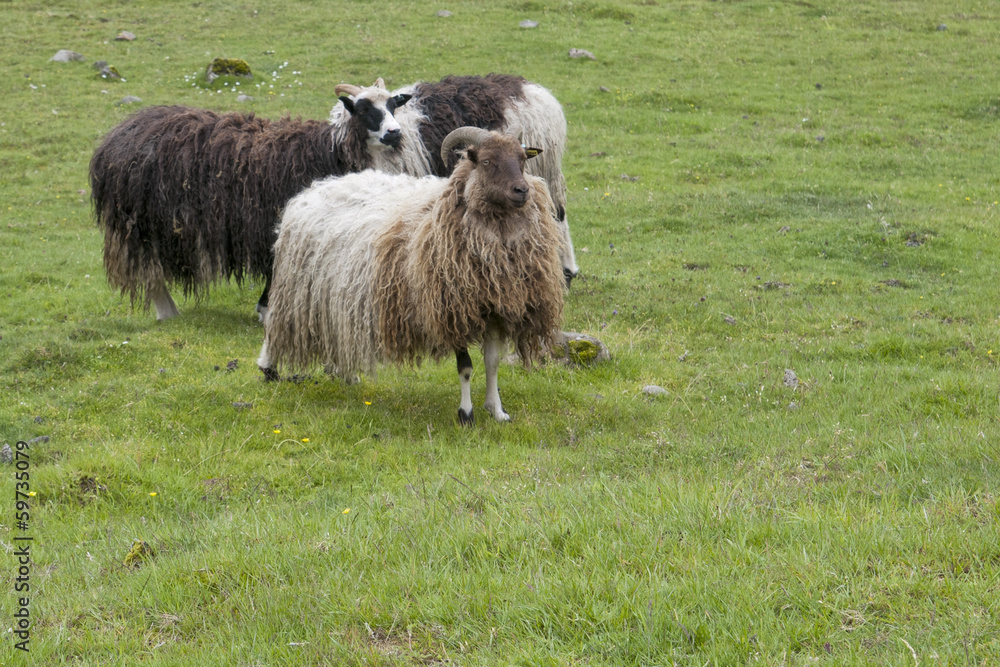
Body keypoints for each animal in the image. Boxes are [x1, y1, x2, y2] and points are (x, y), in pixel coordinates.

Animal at [89, 79, 410, 320]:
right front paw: (266, 310)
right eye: (364, 109)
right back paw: (167, 312)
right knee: (149, 270)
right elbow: (274, 267)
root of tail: (115, 137)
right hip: (139, 223)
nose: (395, 133)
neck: (329, 151)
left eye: (393, 106)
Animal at [258, 128, 568, 426]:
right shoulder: (449, 310)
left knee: (337, 333)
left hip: (334, 296)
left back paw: (346, 375)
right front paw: (466, 414)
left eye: (522, 160)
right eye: (487, 161)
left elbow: (492, 363)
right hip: (296, 291)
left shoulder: (493, 308)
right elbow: (466, 368)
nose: (522, 190)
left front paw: (497, 411)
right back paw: (267, 367)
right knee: (275, 325)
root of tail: (314, 189)